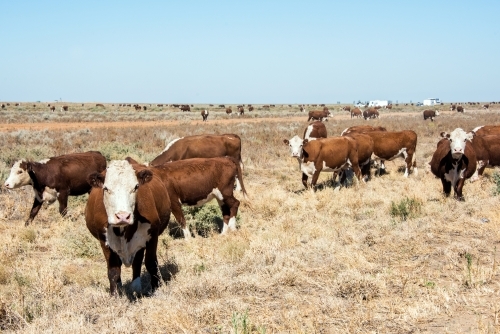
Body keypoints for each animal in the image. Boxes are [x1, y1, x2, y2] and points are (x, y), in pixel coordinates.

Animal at [86, 160, 172, 294]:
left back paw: (136, 287)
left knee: (137, 262)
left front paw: (155, 290)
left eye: (136, 187)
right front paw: (115, 295)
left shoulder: (152, 235)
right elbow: (113, 270)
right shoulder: (104, 240)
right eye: (106, 188)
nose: (122, 216)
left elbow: (151, 263)